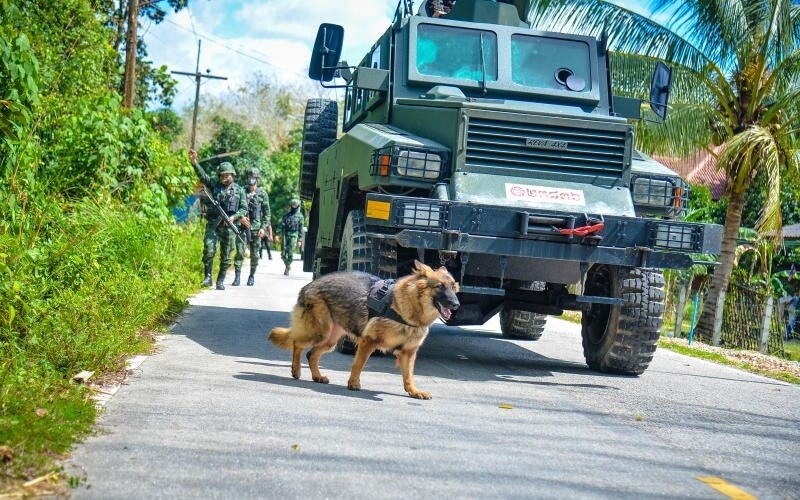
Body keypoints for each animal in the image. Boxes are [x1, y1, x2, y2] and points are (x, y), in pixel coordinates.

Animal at [268, 262, 460, 398]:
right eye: (440, 286)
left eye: (454, 288)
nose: (456, 304)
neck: (408, 309)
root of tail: (310, 284)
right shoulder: (369, 342)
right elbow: (358, 364)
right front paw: (353, 383)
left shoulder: (408, 352)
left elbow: (408, 375)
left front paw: (413, 391)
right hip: (318, 333)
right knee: (297, 343)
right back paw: (296, 370)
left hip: (329, 340)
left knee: (311, 354)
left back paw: (317, 376)